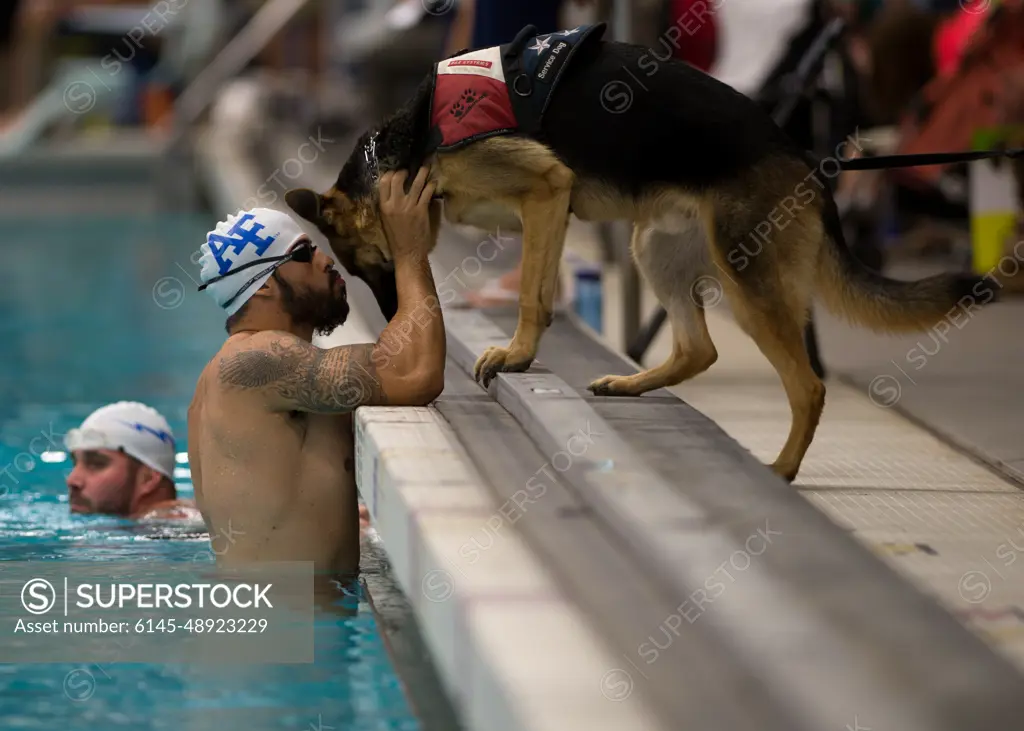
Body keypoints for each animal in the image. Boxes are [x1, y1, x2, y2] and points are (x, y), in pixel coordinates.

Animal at [284, 22, 995, 481]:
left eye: (368, 265)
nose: (389, 316)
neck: (407, 144)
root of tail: (807, 159)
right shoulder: (550, 208)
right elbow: (541, 285)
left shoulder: (546, 190)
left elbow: (534, 294)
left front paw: (516, 354)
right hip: (655, 245)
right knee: (698, 348)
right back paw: (631, 383)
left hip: (746, 280)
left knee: (809, 386)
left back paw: (782, 468)